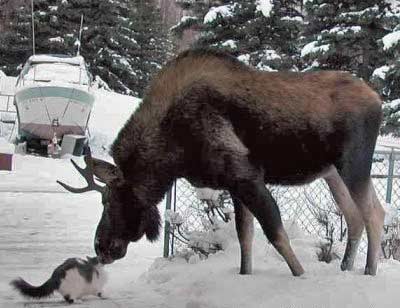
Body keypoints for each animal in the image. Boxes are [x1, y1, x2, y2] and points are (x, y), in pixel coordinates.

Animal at [57, 48, 386, 276]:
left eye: (109, 201)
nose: (101, 247)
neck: (173, 153)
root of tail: (378, 99)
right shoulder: (235, 185)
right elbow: (245, 238)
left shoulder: (246, 174)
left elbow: (276, 235)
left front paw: (301, 276)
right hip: (332, 173)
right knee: (355, 217)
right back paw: (345, 268)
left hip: (353, 164)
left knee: (374, 213)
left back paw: (369, 272)